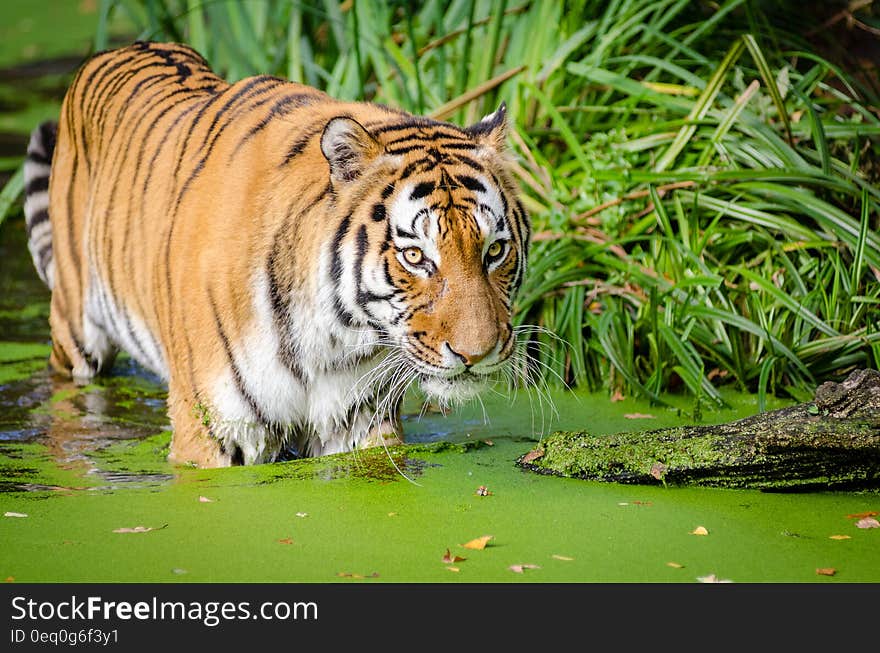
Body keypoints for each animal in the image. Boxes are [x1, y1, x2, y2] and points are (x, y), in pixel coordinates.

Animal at [22, 40, 528, 466]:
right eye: (416, 257)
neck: (335, 339)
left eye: (495, 250)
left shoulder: (357, 422)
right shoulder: (211, 429)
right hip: (75, 335)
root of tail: (118, 49)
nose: (476, 355)